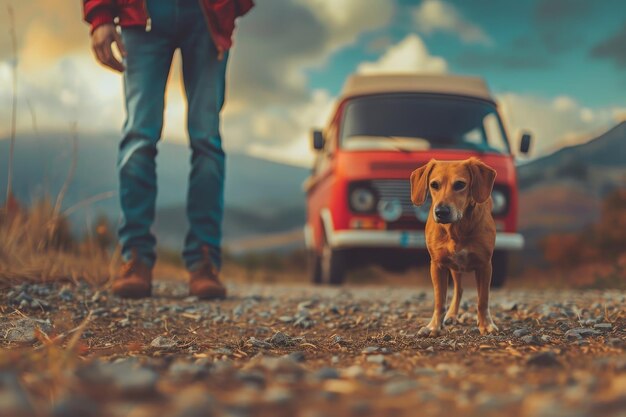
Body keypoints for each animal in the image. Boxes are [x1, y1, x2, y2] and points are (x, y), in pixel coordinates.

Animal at [410, 156, 498, 334]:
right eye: (434, 185)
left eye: (459, 184)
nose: (441, 212)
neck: (457, 229)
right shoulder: (437, 265)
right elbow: (439, 300)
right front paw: (434, 326)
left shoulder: (485, 265)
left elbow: (483, 299)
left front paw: (485, 324)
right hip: (455, 268)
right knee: (459, 290)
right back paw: (451, 315)